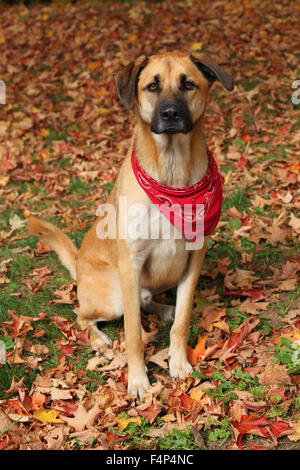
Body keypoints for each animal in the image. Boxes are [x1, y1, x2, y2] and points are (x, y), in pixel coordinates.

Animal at [27, 52, 234, 400]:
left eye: (188, 84)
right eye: (152, 86)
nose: (170, 113)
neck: (172, 173)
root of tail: (78, 265)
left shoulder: (193, 258)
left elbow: (182, 321)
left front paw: (178, 361)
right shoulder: (131, 263)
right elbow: (134, 334)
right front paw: (138, 379)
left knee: (145, 301)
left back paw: (163, 309)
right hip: (111, 293)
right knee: (83, 315)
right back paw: (98, 339)